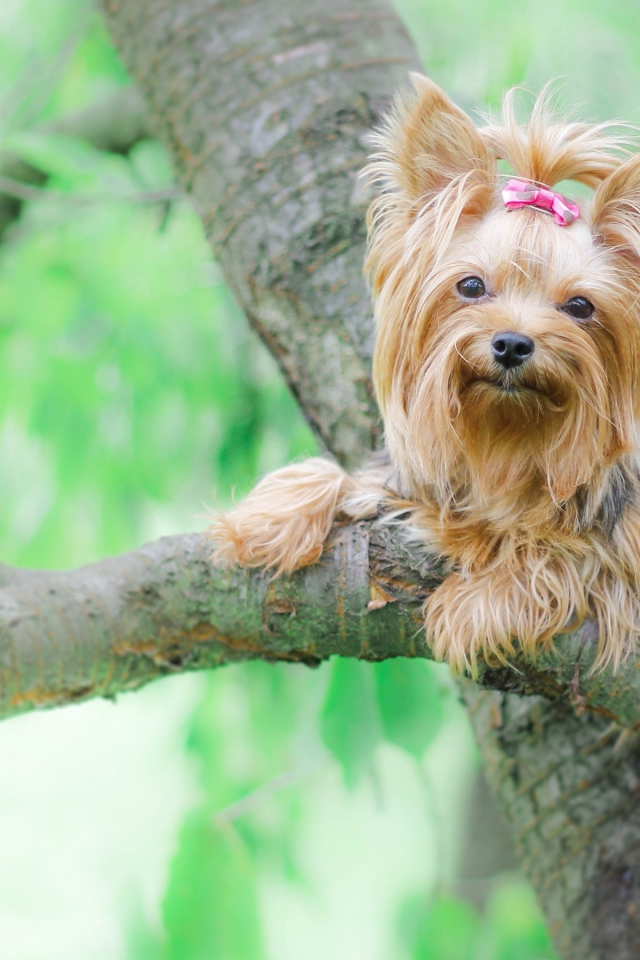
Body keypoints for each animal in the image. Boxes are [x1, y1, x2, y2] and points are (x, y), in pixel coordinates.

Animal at [212, 75, 640, 672]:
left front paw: (478, 604)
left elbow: (568, 556)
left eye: (580, 306)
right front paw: (269, 521)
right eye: (471, 286)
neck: (505, 442)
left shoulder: (621, 559)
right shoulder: (404, 480)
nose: (511, 343)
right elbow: (344, 478)